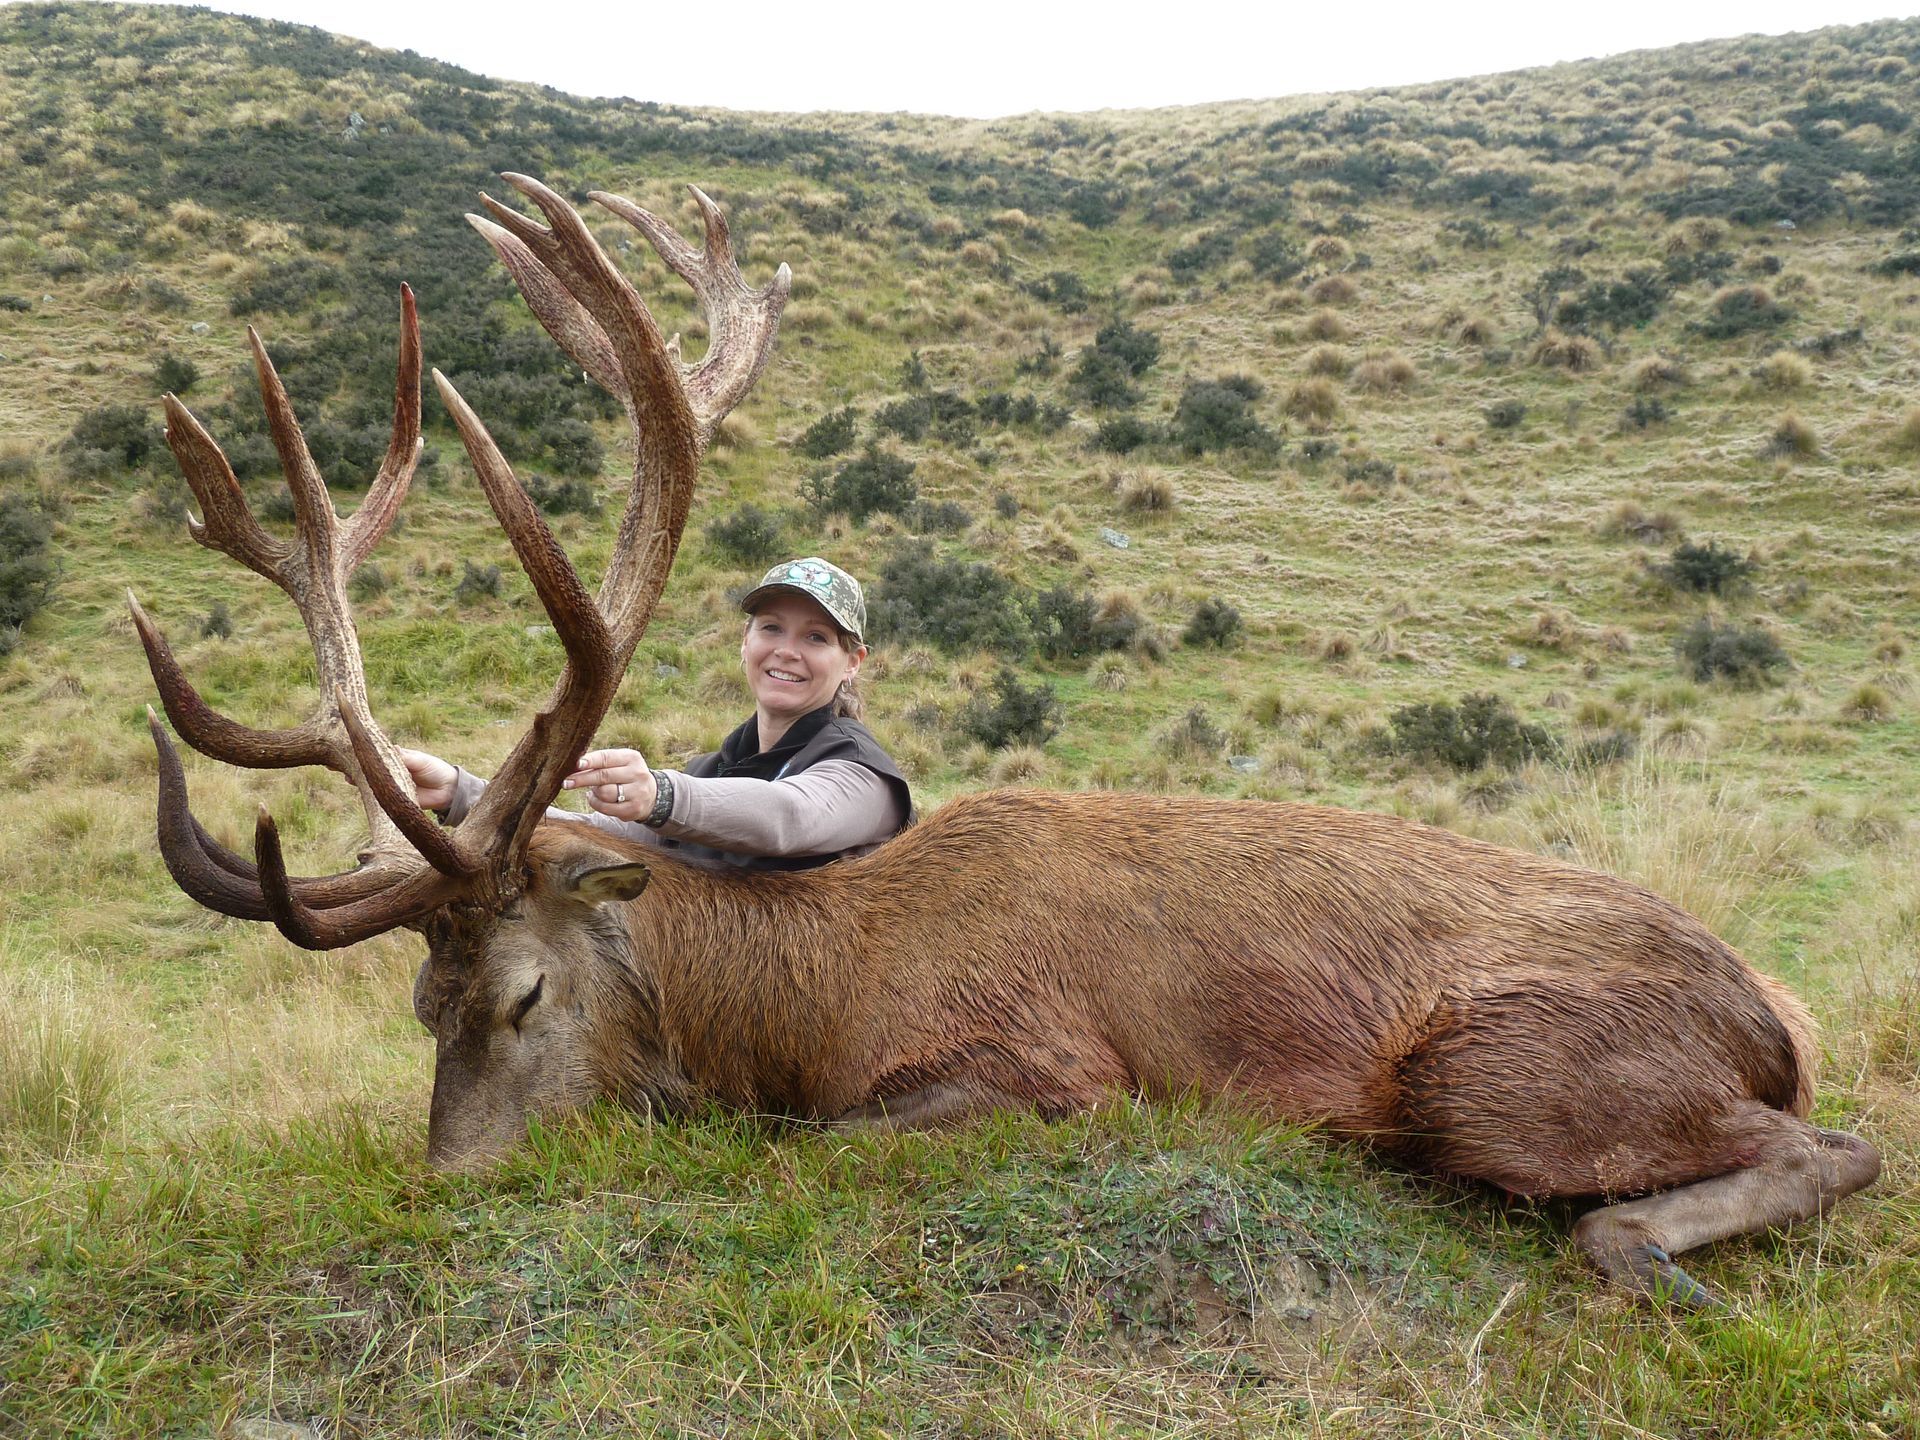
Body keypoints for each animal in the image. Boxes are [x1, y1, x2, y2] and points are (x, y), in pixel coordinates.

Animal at [129, 174, 1880, 1310]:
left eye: (526, 993)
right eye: (418, 1006)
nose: (452, 1192)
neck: (810, 993)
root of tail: (1777, 1013)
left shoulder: (1048, 1075)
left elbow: (817, 1150)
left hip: (1505, 1073)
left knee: (1824, 1145)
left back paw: (1639, 1248)